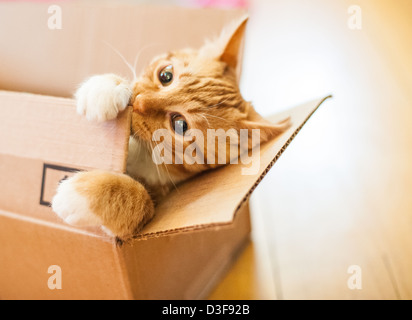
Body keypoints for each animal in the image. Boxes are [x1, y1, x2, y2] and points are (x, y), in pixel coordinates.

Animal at [51, 15, 290, 240]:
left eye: (180, 125)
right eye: (166, 75)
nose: (139, 103)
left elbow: (143, 201)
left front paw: (81, 194)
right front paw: (105, 88)